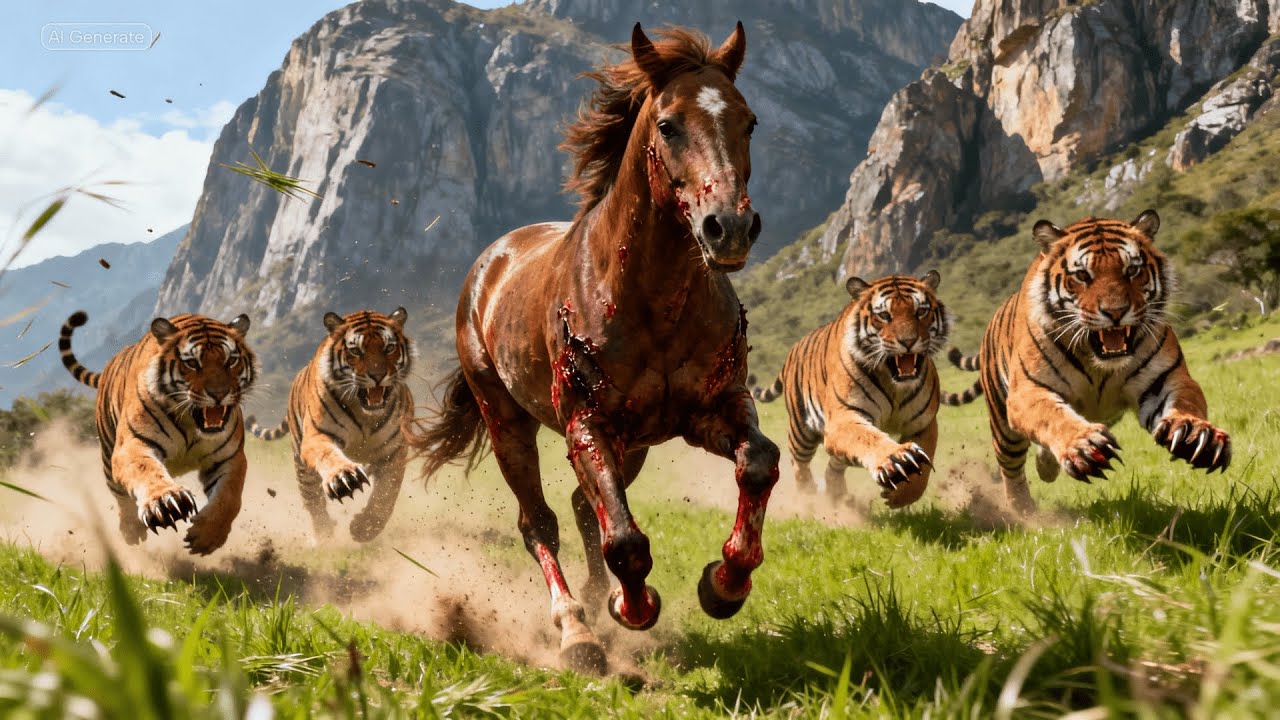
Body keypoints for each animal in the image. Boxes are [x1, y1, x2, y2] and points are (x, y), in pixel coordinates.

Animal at [407, 22, 779, 675]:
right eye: (668, 124)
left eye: (749, 121)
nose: (729, 228)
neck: (651, 301)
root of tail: (491, 263)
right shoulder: (587, 424)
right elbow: (625, 540)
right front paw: (634, 608)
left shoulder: (714, 409)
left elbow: (758, 462)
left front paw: (724, 583)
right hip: (508, 423)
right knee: (541, 523)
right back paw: (576, 630)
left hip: (635, 445)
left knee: (585, 506)